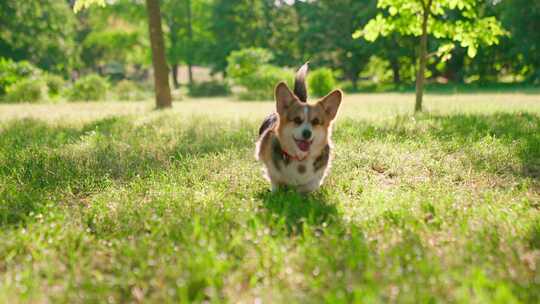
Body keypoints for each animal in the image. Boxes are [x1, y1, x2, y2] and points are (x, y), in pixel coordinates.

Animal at [256, 63, 342, 192]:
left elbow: (309, 185)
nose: (307, 133)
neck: (301, 158)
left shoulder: (316, 177)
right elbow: (276, 181)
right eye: (297, 120)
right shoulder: (272, 171)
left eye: (315, 121)